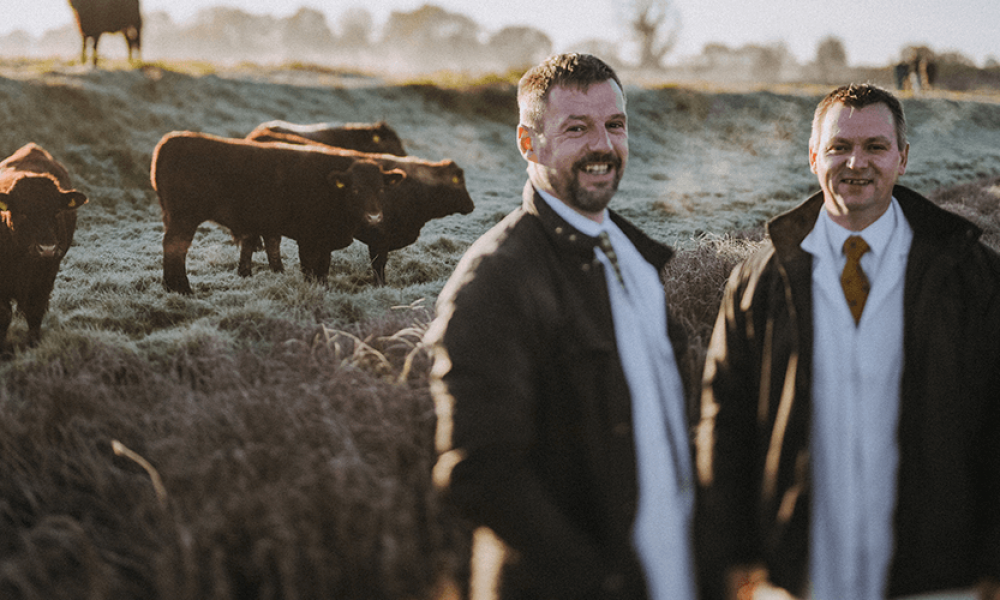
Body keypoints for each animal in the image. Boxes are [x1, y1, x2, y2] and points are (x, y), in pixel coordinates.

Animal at [0, 144, 88, 350]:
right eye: (23, 213)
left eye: (56, 212)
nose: (46, 248)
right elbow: (4, 315)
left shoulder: (45, 278)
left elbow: (35, 312)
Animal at [149, 132, 406, 296]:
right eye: (355, 189)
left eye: (381, 189)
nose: (374, 217)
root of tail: (172, 140)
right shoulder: (309, 240)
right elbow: (310, 270)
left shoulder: (323, 242)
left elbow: (323, 270)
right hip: (184, 218)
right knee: (175, 248)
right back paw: (182, 289)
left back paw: (171, 287)